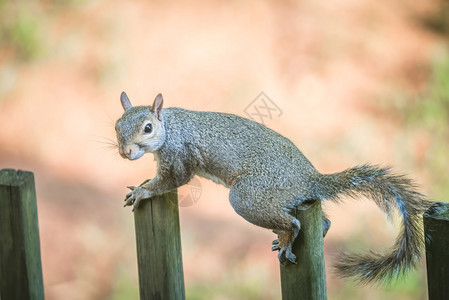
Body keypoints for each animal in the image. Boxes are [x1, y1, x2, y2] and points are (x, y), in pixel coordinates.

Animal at [114, 91, 430, 284]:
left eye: (147, 128)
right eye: (117, 126)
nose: (125, 152)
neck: (171, 126)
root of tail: (309, 179)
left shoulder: (179, 157)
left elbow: (170, 181)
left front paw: (141, 191)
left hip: (249, 197)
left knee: (293, 222)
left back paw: (288, 237)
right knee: (323, 220)